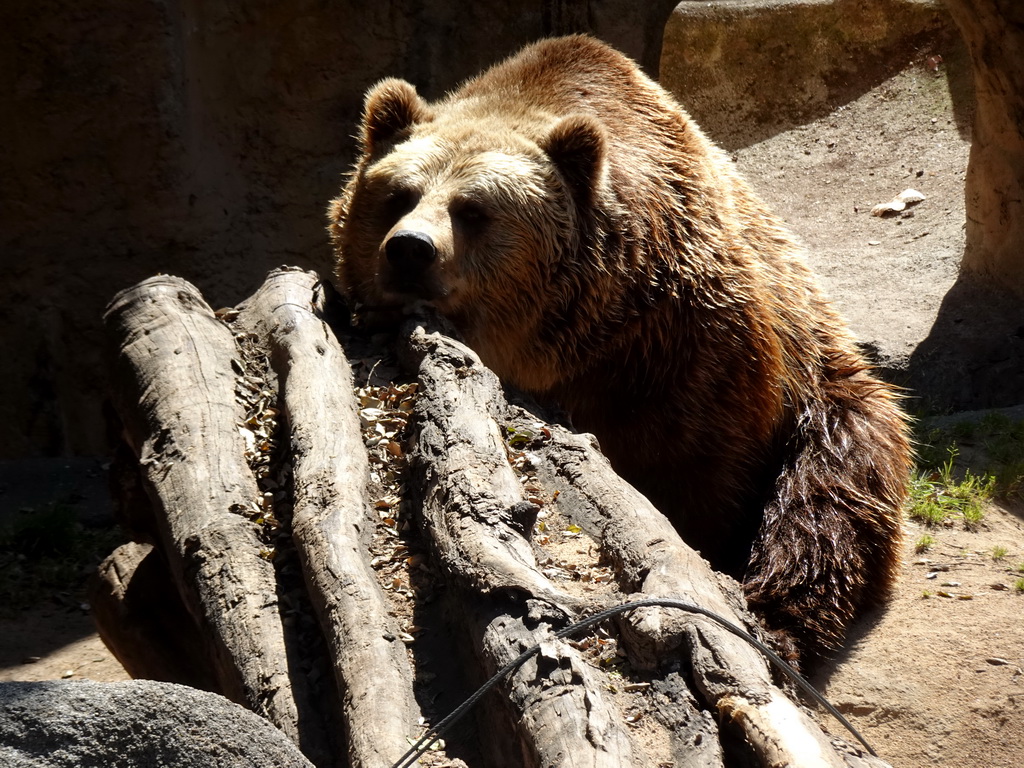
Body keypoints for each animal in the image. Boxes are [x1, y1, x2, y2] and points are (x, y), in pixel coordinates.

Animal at [327, 33, 913, 663]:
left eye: (473, 210)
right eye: (397, 195)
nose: (409, 249)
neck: (561, 343)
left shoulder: (682, 352)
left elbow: (697, 473)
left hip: (823, 388)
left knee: (830, 493)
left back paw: (782, 614)